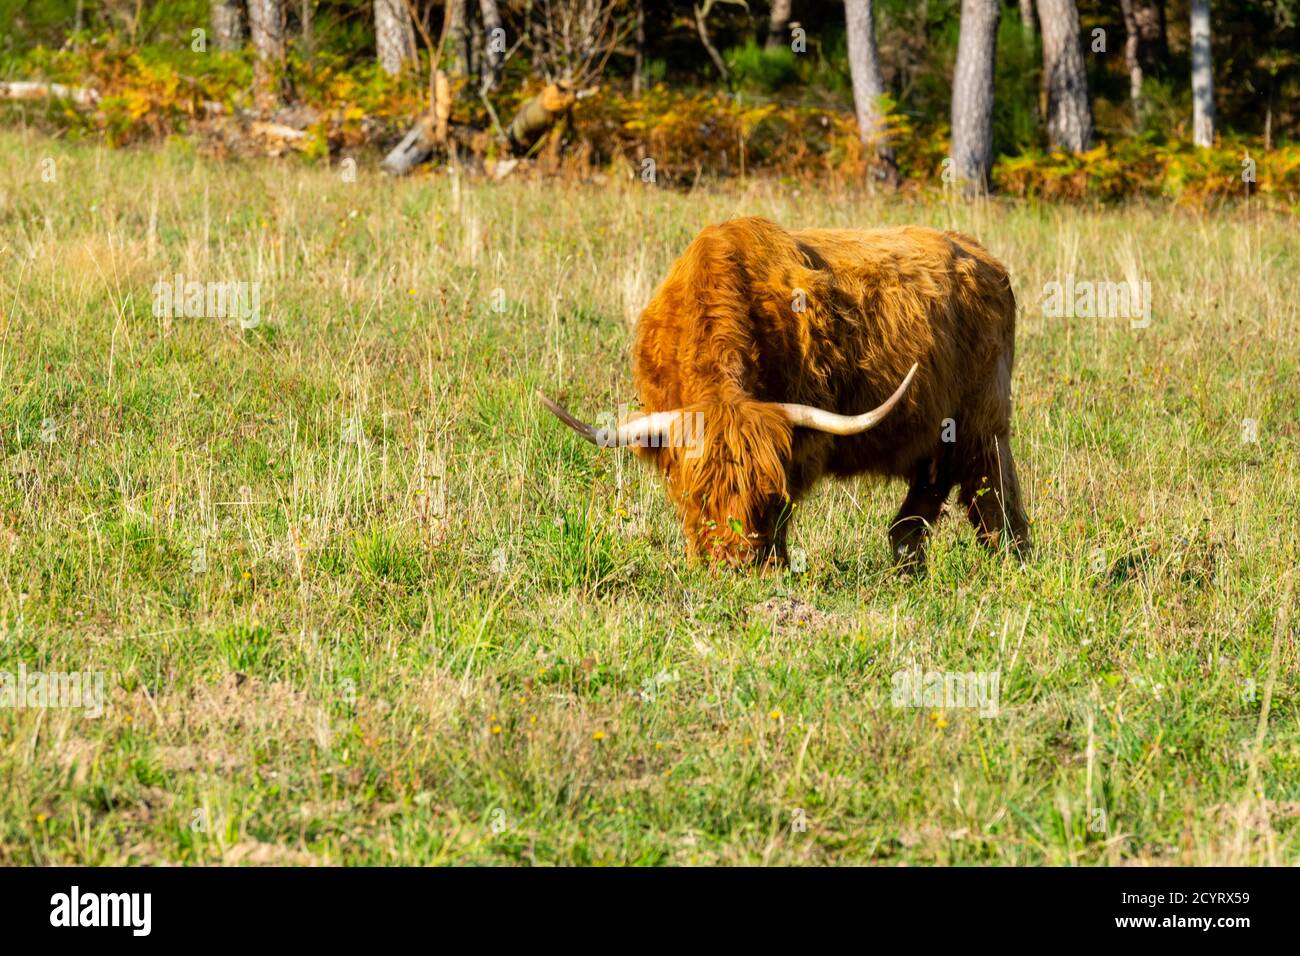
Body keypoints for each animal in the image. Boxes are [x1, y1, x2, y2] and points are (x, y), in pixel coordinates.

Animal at [540, 217, 1030, 569]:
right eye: (702, 495)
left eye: (765, 494)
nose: (734, 563)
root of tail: (982, 255)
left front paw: (774, 561)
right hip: (937, 430)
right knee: (926, 498)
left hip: (983, 418)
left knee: (993, 494)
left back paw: (1010, 562)